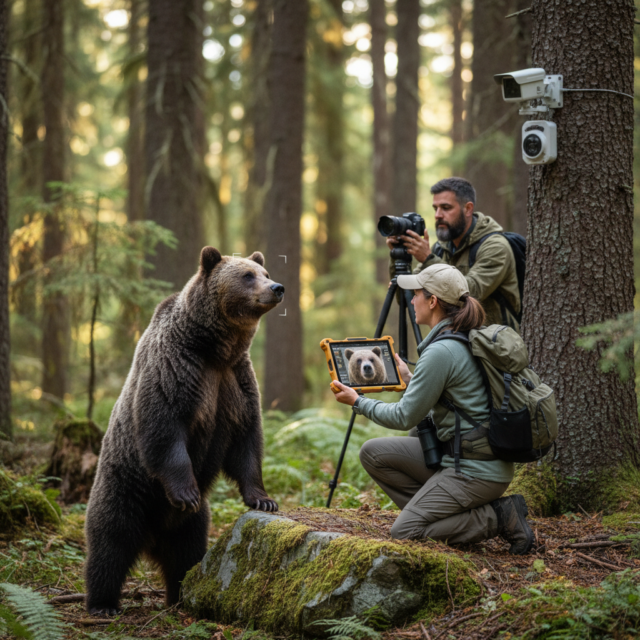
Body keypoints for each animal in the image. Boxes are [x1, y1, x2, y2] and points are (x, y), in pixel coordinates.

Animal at [84, 247, 283, 615]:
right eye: (247, 275)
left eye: (264, 271)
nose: (277, 288)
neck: (216, 349)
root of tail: (152, 538)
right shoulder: (177, 369)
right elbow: (164, 428)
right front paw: (186, 492)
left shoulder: (236, 383)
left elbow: (247, 441)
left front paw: (264, 500)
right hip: (125, 487)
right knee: (111, 543)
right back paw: (103, 603)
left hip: (190, 525)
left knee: (186, 552)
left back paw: (182, 595)